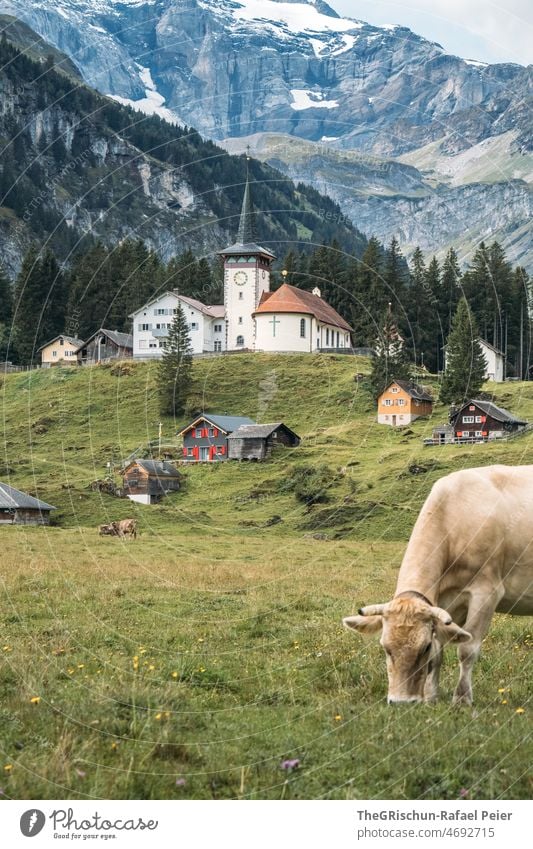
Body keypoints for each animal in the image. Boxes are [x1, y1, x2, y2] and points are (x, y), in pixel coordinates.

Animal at [340, 464, 532, 704]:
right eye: (385, 648)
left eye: (424, 647)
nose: (401, 702)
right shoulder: (443, 601)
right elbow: (439, 654)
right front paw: (431, 697)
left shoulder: (486, 592)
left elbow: (467, 649)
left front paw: (462, 699)